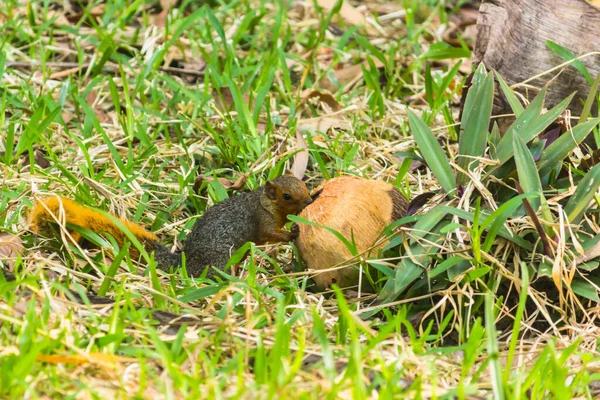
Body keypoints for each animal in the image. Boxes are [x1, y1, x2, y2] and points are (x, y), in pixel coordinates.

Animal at [29, 175, 314, 278]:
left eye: (304, 185)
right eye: (287, 196)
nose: (310, 200)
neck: (264, 202)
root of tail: (186, 262)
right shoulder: (261, 219)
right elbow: (268, 235)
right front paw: (292, 233)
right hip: (220, 258)